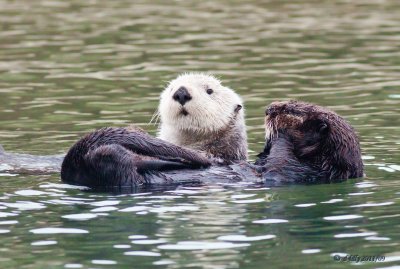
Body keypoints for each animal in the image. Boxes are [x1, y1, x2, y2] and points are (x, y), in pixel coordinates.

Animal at [61, 99, 364, 187]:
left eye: (291, 109)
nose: (269, 108)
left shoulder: (297, 173)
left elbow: (280, 161)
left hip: (115, 172)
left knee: (112, 160)